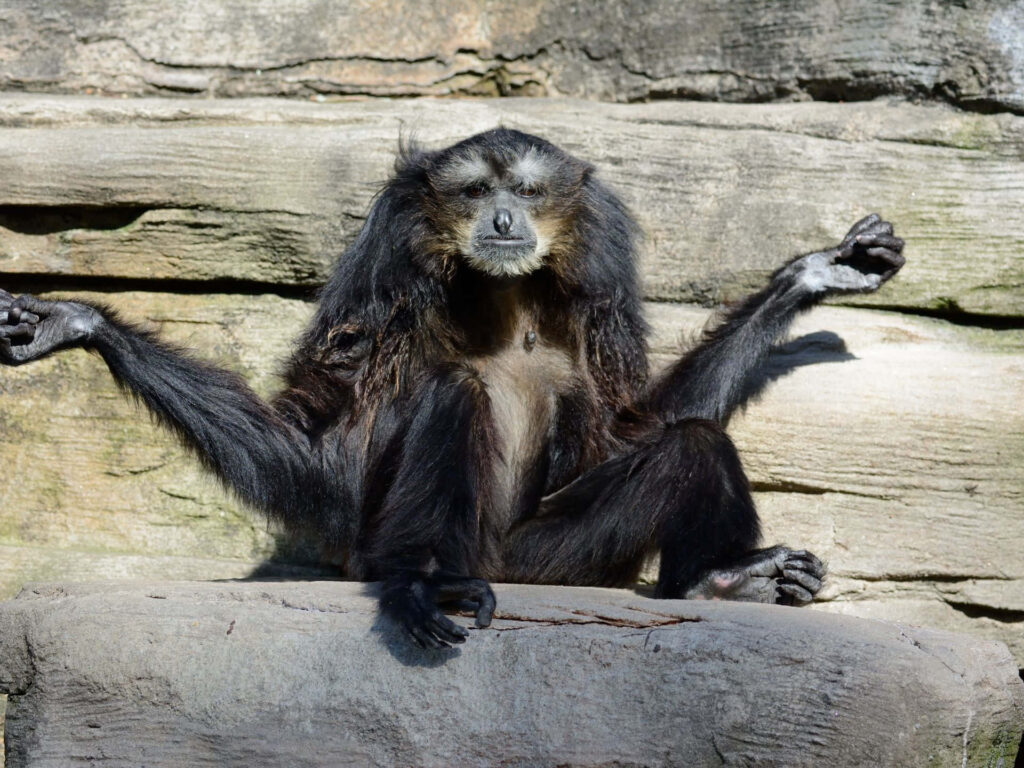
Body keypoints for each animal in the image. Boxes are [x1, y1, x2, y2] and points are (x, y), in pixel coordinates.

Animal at [0, 128, 905, 649]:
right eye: (476, 191)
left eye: (526, 192)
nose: (503, 220)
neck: (498, 292)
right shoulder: (386, 259)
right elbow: (318, 453)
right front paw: (82, 323)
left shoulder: (601, 270)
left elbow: (630, 421)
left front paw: (814, 275)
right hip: (466, 553)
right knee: (453, 393)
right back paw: (428, 584)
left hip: (547, 561)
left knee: (691, 441)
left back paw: (716, 583)